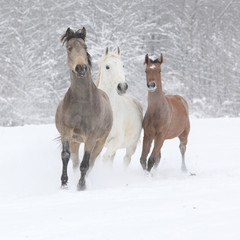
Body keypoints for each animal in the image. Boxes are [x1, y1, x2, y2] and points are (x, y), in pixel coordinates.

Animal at [55, 27, 113, 189]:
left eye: (85, 47)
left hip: (99, 142)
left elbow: (85, 164)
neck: (82, 102)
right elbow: (66, 156)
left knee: (91, 162)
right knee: (75, 161)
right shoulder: (67, 131)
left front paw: (81, 186)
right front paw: (64, 183)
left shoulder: (91, 137)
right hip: (75, 141)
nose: (81, 67)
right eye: (69, 48)